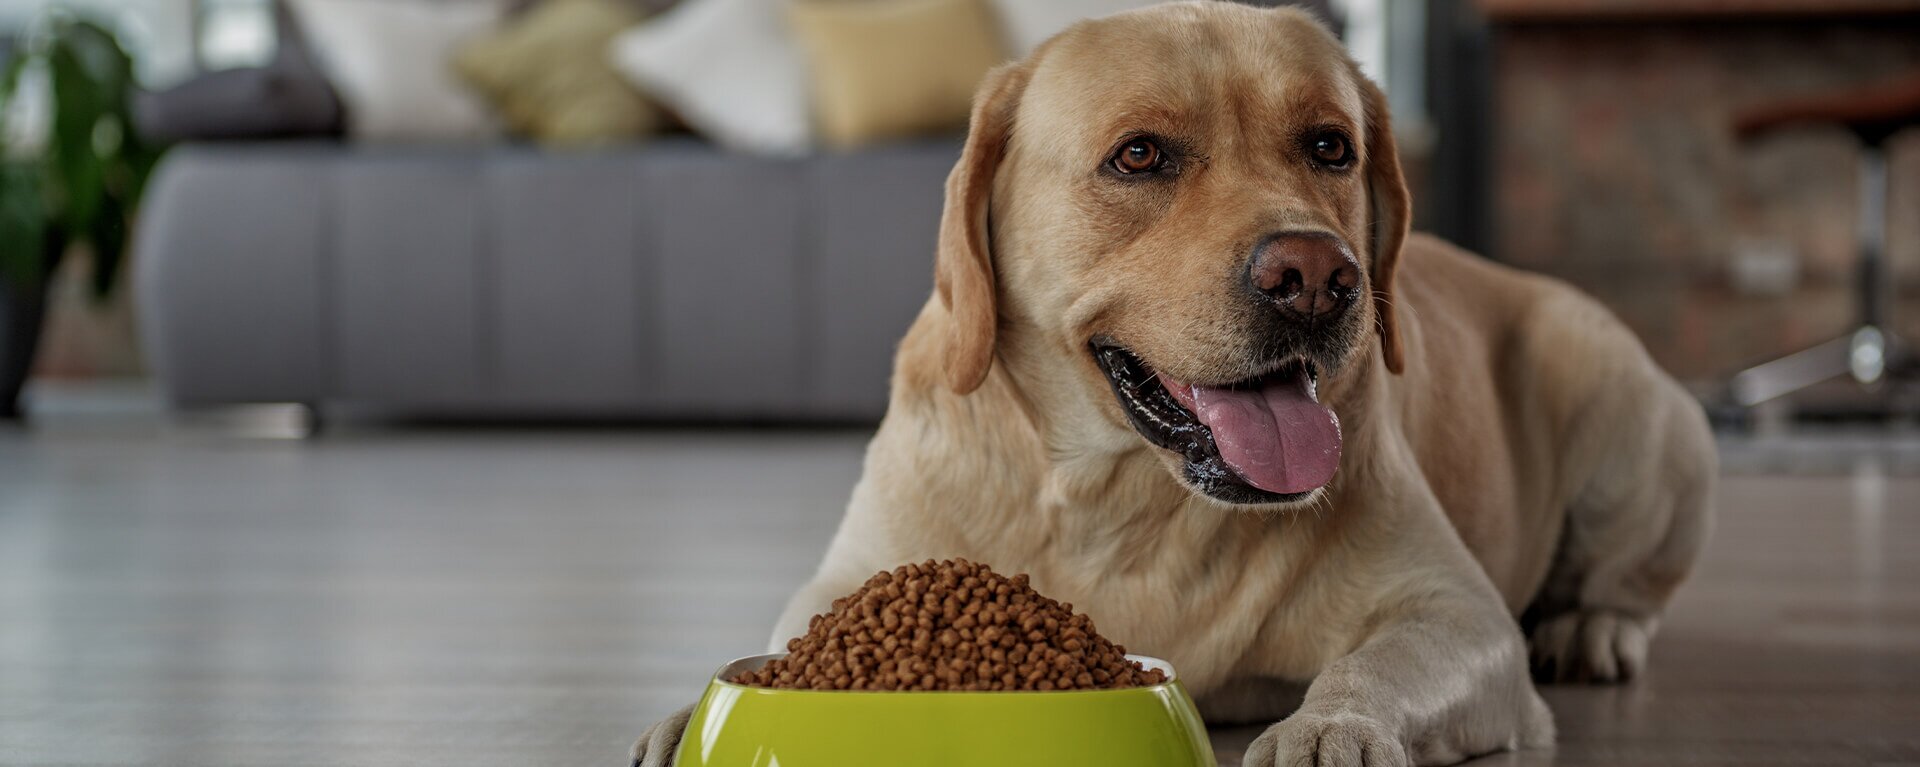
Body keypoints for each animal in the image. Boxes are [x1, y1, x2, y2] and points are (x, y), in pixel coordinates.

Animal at [629, 3, 1712, 765]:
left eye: (1330, 145)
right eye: (1140, 154)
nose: (1317, 277)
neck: (1118, 498)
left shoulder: (1455, 611)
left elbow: (1375, 661)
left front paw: (1333, 727)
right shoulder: (849, 578)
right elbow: (783, 645)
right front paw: (687, 712)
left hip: (1625, 401)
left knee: (1631, 584)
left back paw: (1592, 628)